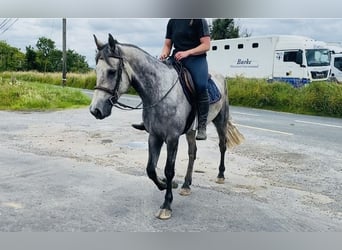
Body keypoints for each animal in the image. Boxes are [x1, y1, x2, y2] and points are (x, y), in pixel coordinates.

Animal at [89, 34, 243, 220]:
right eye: (96, 71)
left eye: (112, 72)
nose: (95, 110)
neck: (159, 91)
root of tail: (221, 76)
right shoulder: (154, 136)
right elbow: (150, 169)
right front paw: (165, 184)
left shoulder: (172, 138)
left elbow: (169, 170)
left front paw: (167, 205)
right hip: (191, 130)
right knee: (193, 153)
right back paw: (186, 185)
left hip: (221, 120)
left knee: (222, 145)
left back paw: (220, 175)